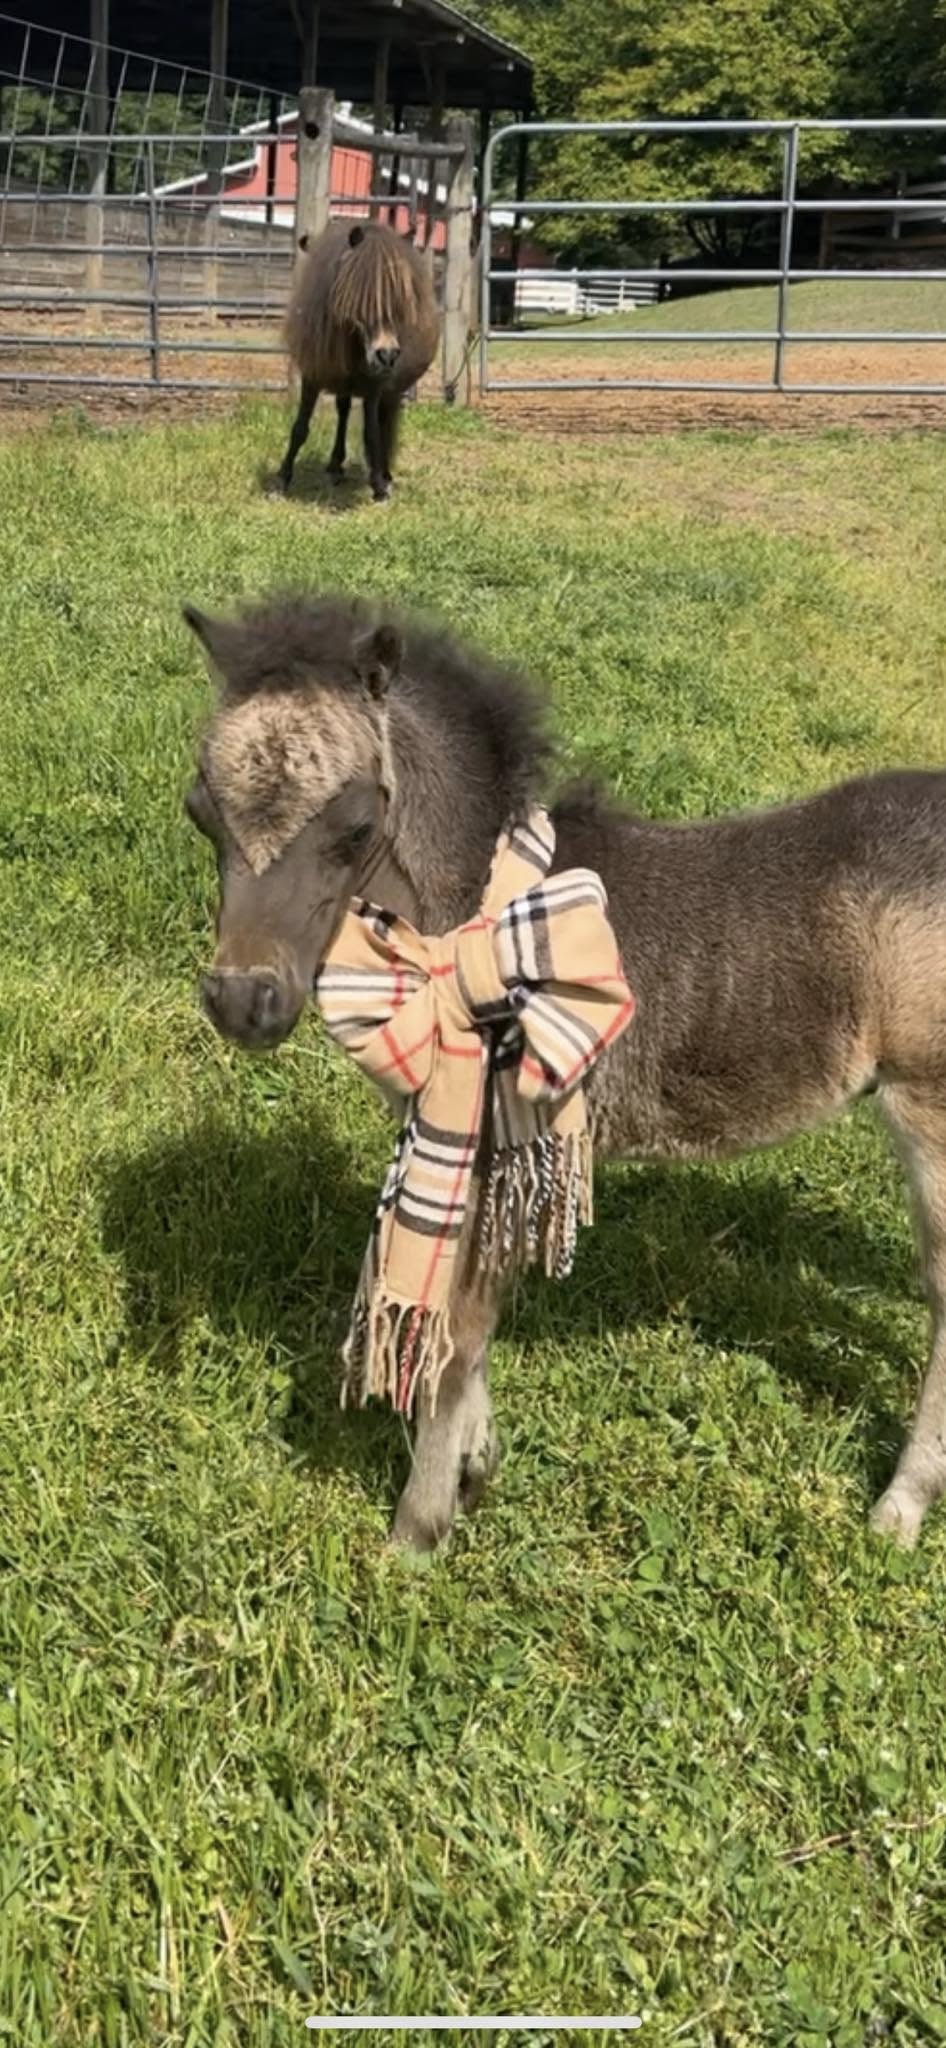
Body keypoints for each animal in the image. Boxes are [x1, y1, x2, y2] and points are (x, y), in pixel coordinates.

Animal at [183, 592, 946, 1555]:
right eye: (200, 812)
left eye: (353, 826)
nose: (244, 1003)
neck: (476, 911)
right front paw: (475, 1468)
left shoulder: (488, 1135)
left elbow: (459, 1332)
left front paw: (416, 1531)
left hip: (932, 1108)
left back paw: (898, 1508)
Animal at [276, 221, 440, 503]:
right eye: (361, 296)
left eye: (400, 301)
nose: (387, 355)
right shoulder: (312, 376)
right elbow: (300, 428)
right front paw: (282, 480)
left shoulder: (374, 387)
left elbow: (372, 434)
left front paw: (379, 488)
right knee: (344, 411)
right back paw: (336, 467)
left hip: (390, 390)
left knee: (384, 423)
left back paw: (383, 473)